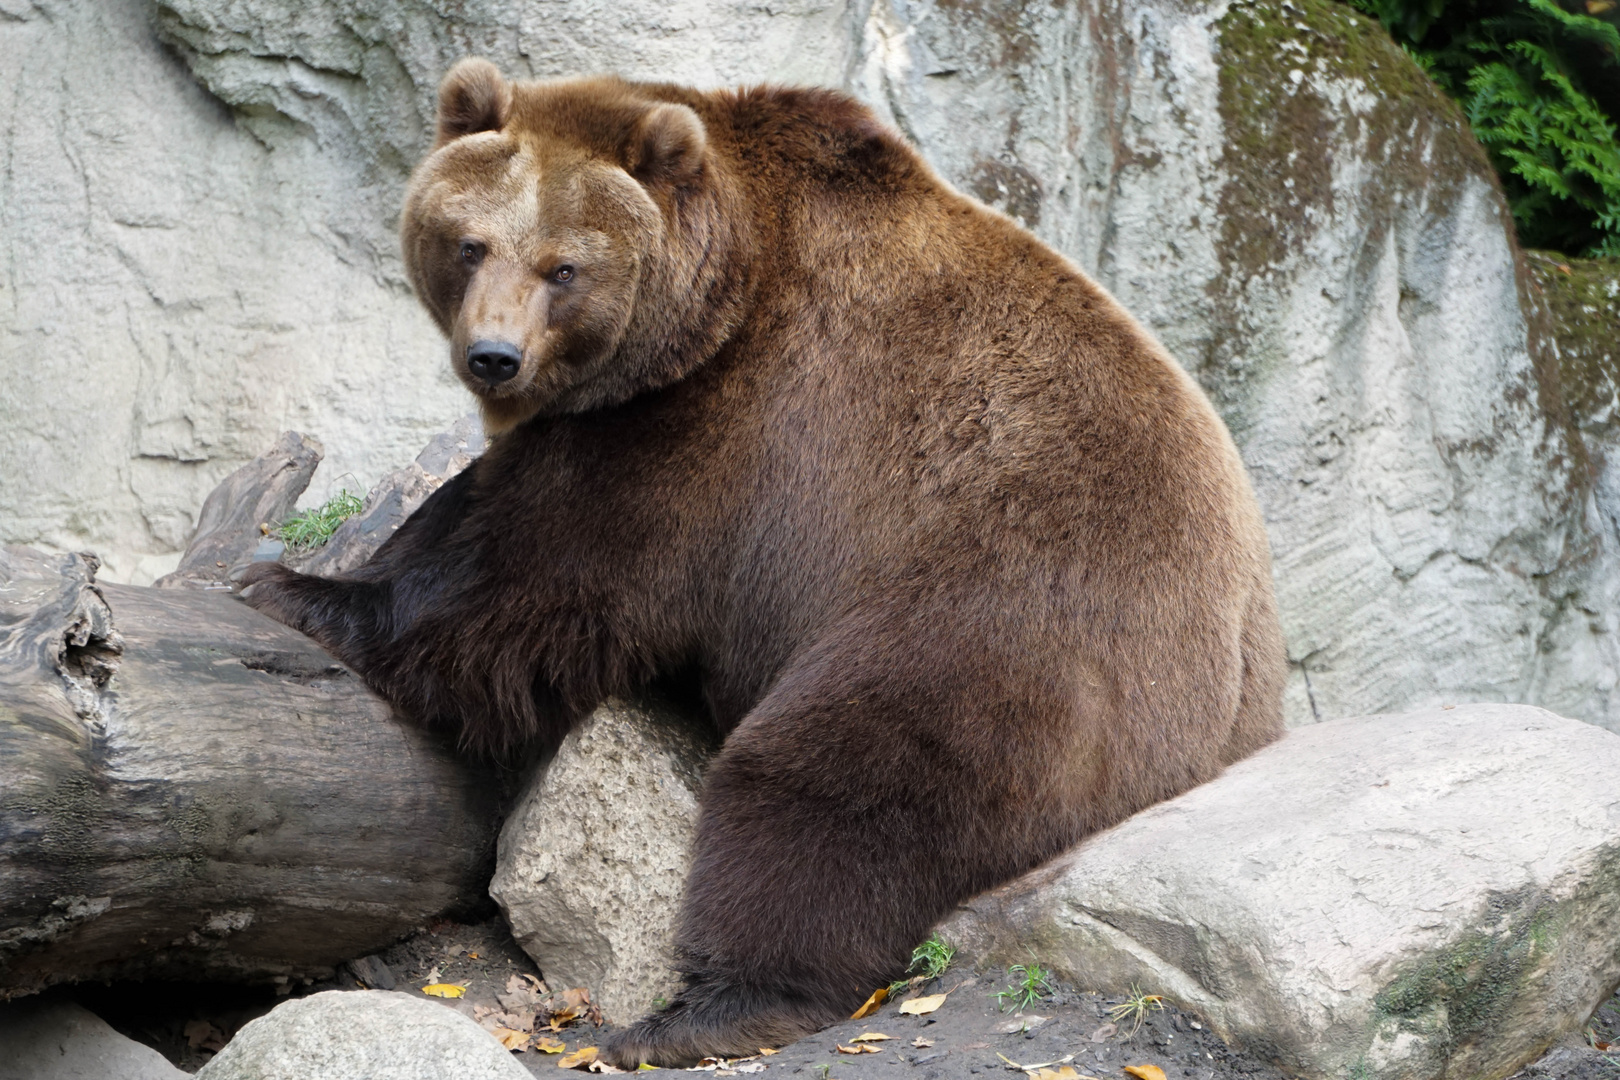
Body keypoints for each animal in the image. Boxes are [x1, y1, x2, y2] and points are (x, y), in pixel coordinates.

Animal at [234, 59, 1283, 1075]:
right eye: (470, 244)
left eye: (564, 266)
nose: (494, 356)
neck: (709, 303)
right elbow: (472, 511)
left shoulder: (730, 438)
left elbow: (537, 588)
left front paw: (295, 591)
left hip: (1013, 619)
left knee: (827, 777)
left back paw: (698, 1013)